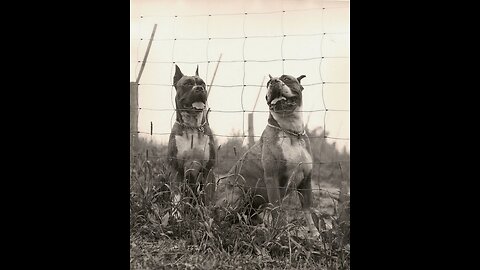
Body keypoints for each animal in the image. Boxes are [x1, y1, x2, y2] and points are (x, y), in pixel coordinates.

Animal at [167, 64, 216, 214]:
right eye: (187, 84)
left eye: (203, 83)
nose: (199, 89)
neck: (192, 127)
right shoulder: (176, 169)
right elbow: (176, 198)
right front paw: (176, 216)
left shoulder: (208, 170)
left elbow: (208, 198)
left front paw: (208, 216)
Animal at [213, 74, 318, 238]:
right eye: (268, 83)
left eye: (287, 78)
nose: (274, 81)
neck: (291, 132)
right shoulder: (272, 179)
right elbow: (277, 209)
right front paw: (280, 234)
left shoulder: (306, 181)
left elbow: (308, 210)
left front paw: (315, 235)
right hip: (237, 194)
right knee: (222, 218)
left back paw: (258, 227)